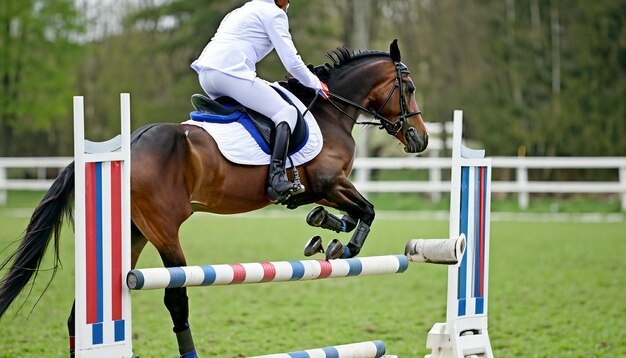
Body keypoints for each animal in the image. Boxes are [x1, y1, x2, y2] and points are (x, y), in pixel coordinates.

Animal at [0, 38, 426, 356]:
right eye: (408, 89)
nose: (419, 139)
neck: (331, 111)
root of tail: (125, 147)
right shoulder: (328, 183)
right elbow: (368, 210)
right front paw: (345, 247)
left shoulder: (320, 190)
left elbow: (349, 212)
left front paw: (325, 231)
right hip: (164, 230)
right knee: (176, 297)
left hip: (133, 231)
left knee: (79, 313)